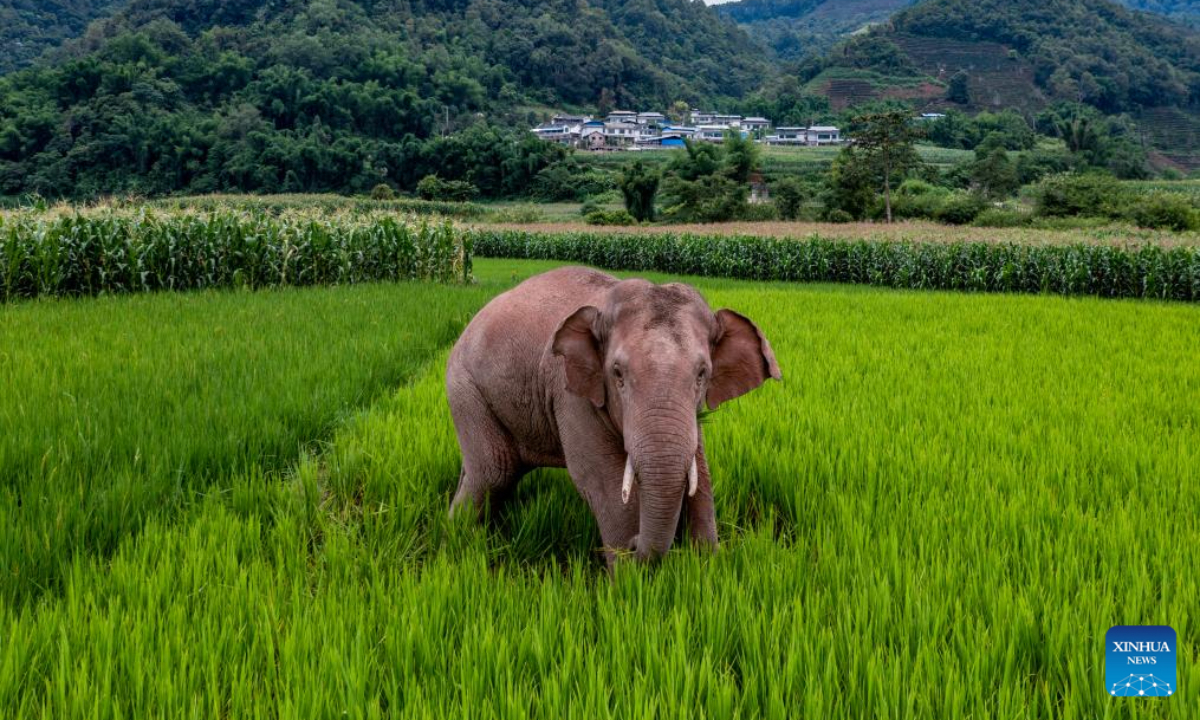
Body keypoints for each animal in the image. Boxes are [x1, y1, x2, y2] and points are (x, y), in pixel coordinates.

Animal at [446, 266, 780, 563]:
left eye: (702, 374)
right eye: (617, 373)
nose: (634, 544)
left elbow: (701, 474)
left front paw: (707, 564)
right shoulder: (570, 391)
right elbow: (603, 480)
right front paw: (629, 581)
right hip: (465, 389)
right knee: (493, 473)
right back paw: (458, 537)